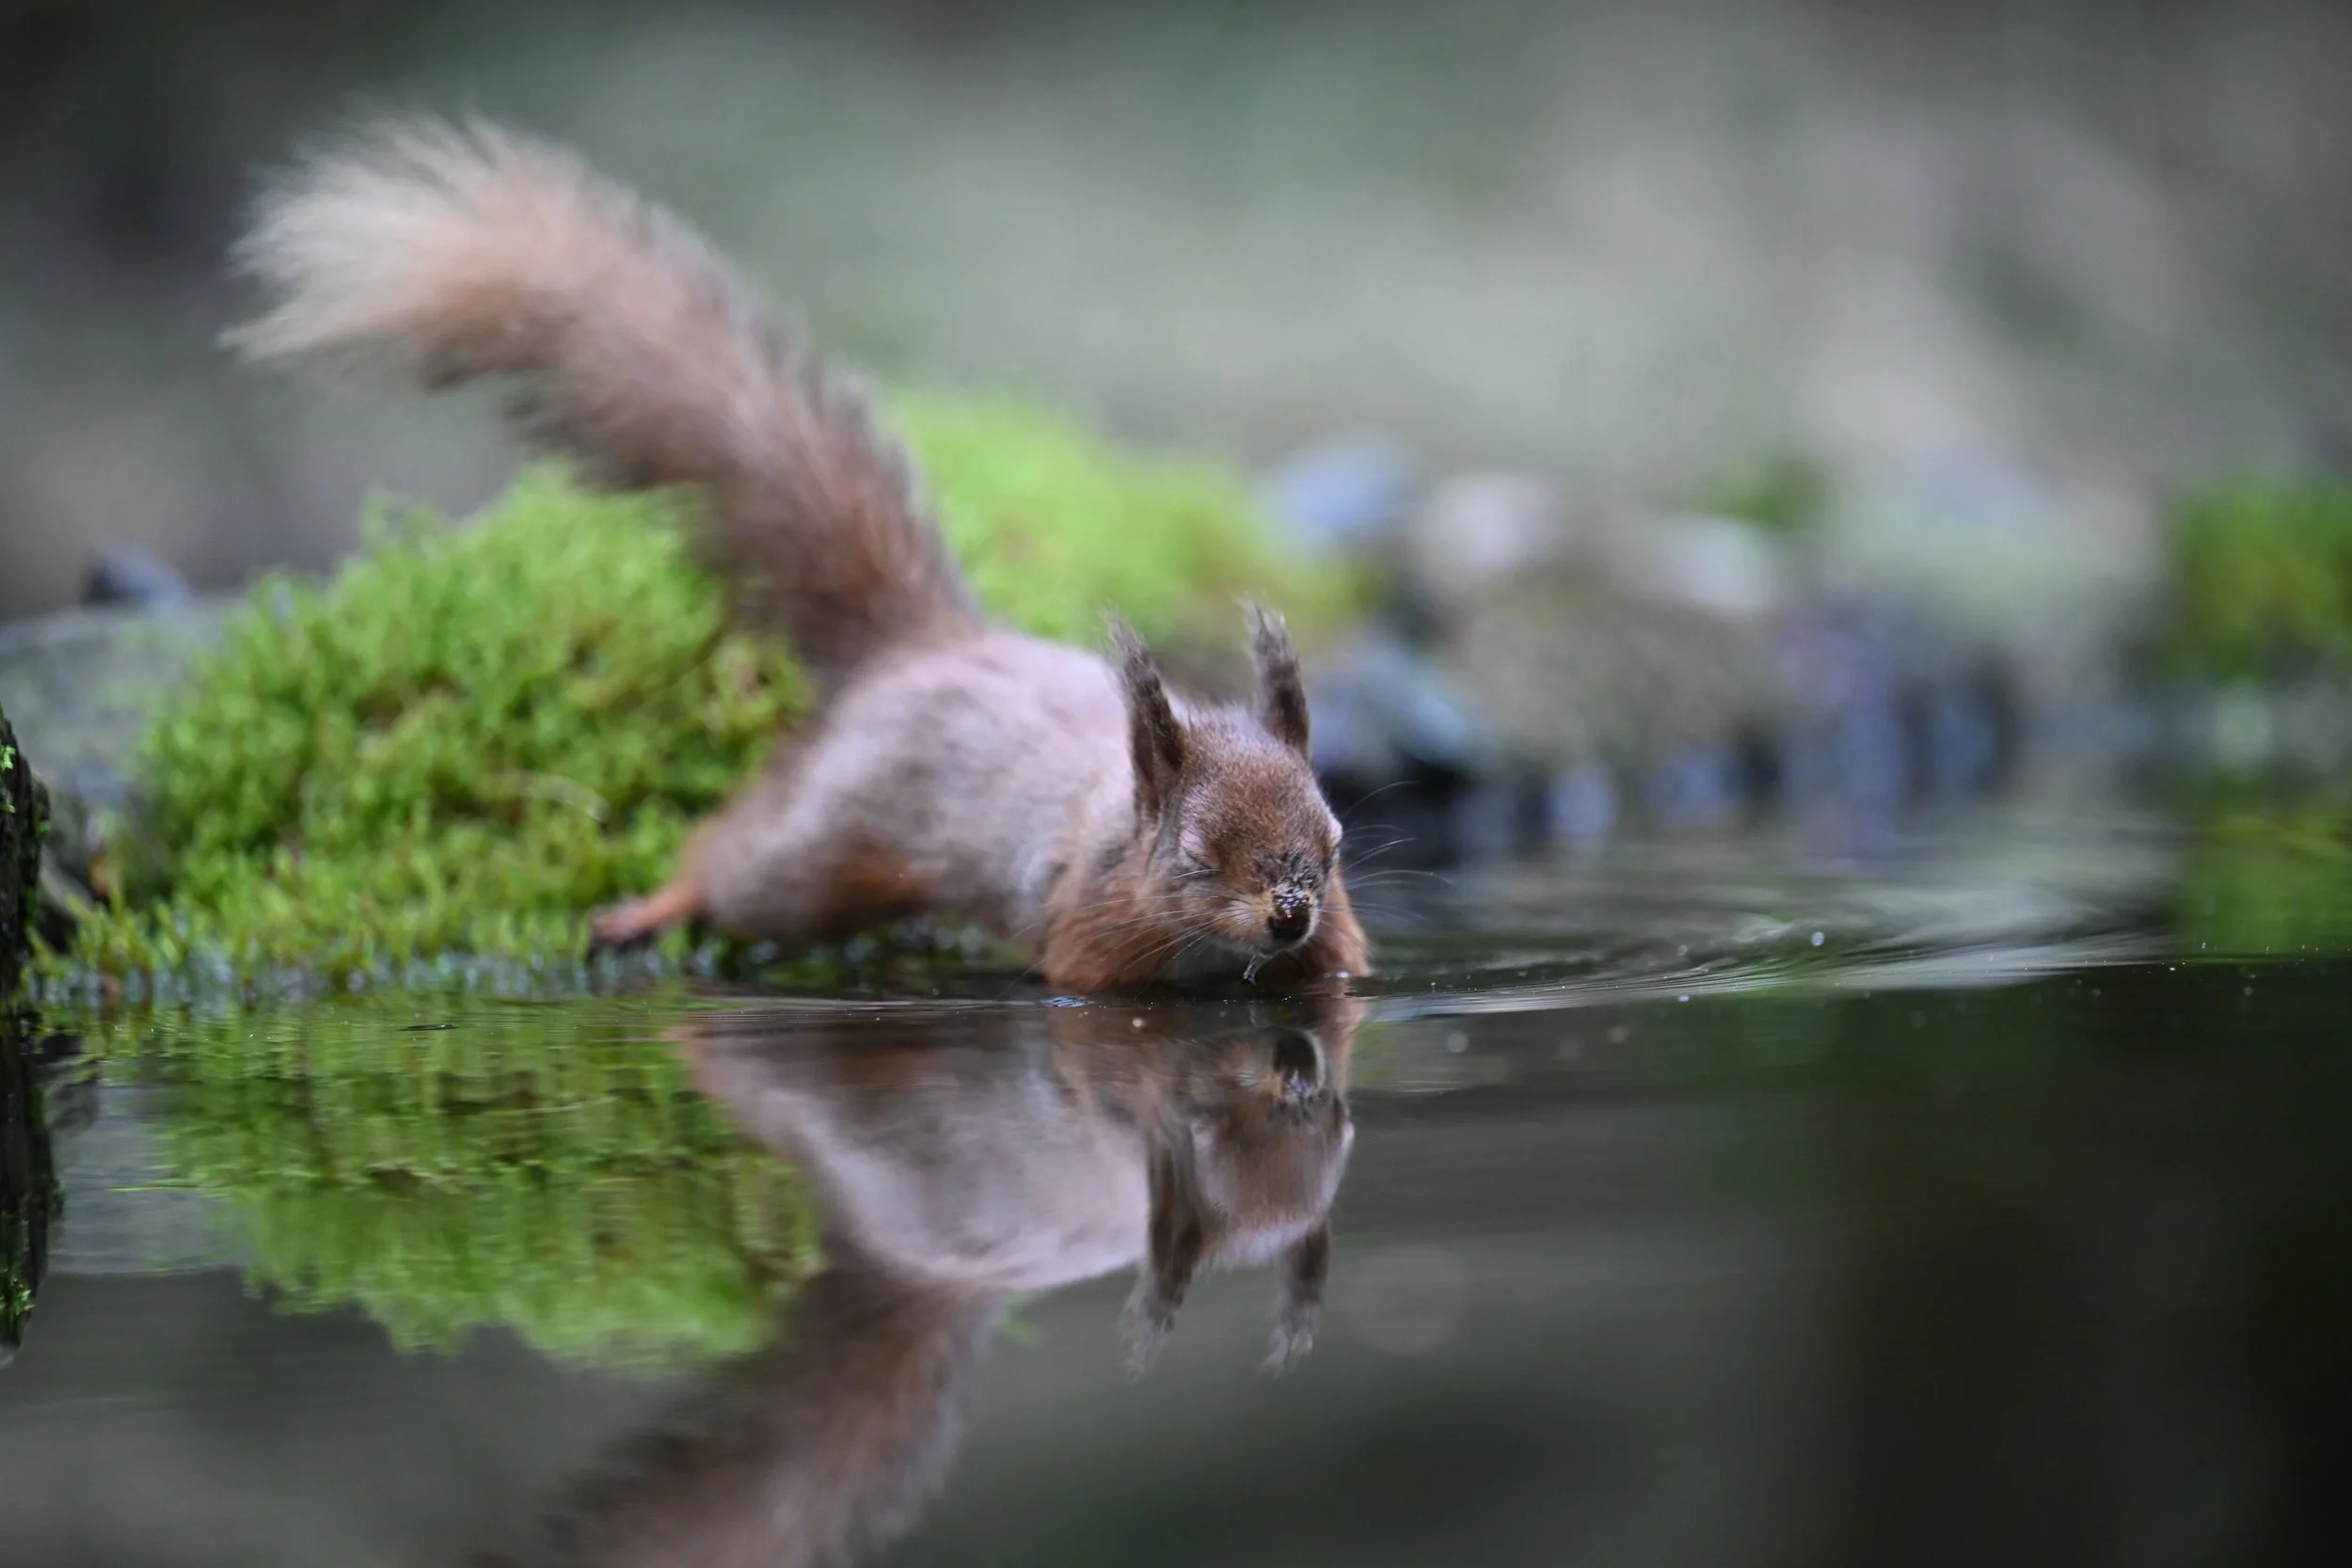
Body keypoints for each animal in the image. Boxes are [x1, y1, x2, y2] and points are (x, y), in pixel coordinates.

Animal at [230, 118, 1369, 991]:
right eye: (1195, 854)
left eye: (1335, 841)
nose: (1289, 909)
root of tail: (919, 648)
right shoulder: (1088, 937)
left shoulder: (1329, 956)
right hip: (824, 845)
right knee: (739, 866)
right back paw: (652, 906)